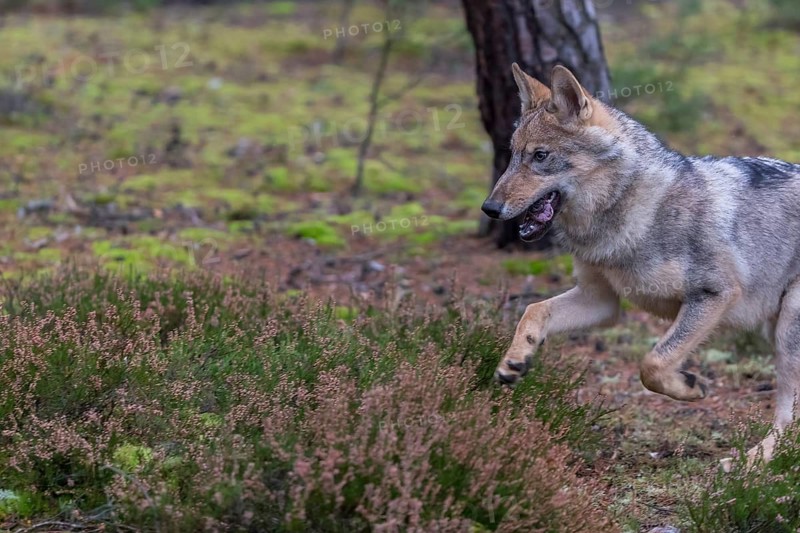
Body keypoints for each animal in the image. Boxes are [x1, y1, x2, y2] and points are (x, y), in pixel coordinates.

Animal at [481, 63, 800, 468]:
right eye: (512, 155)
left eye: (540, 156)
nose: (489, 208)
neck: (629, 211)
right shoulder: (600, 301)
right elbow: (532, 310)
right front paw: (515, 360)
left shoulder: (713, 294)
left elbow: (652, 364)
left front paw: (691, 387)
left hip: (788, 331)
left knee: (788, 417)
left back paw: (749, 461)